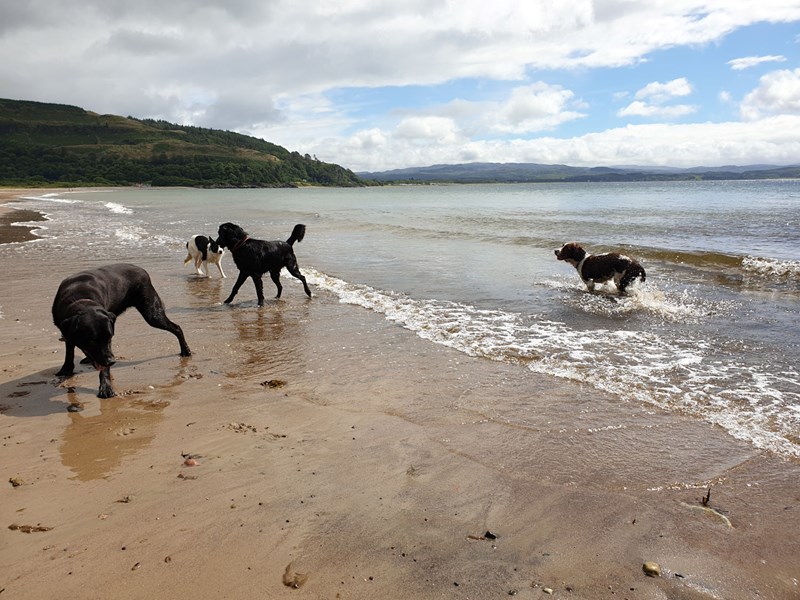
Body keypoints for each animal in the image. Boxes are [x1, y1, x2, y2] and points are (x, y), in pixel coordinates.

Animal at [52, 264, 192, 398]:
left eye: (109, 339)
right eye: (91, 341)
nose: (112, 361)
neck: (80, 299)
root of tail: (142, 270)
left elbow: (103, 367)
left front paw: (106, 387)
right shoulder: (66, 331)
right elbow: (69, 351)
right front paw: (66, 369)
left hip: (152, 314)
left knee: (177, 328)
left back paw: (186, 350)